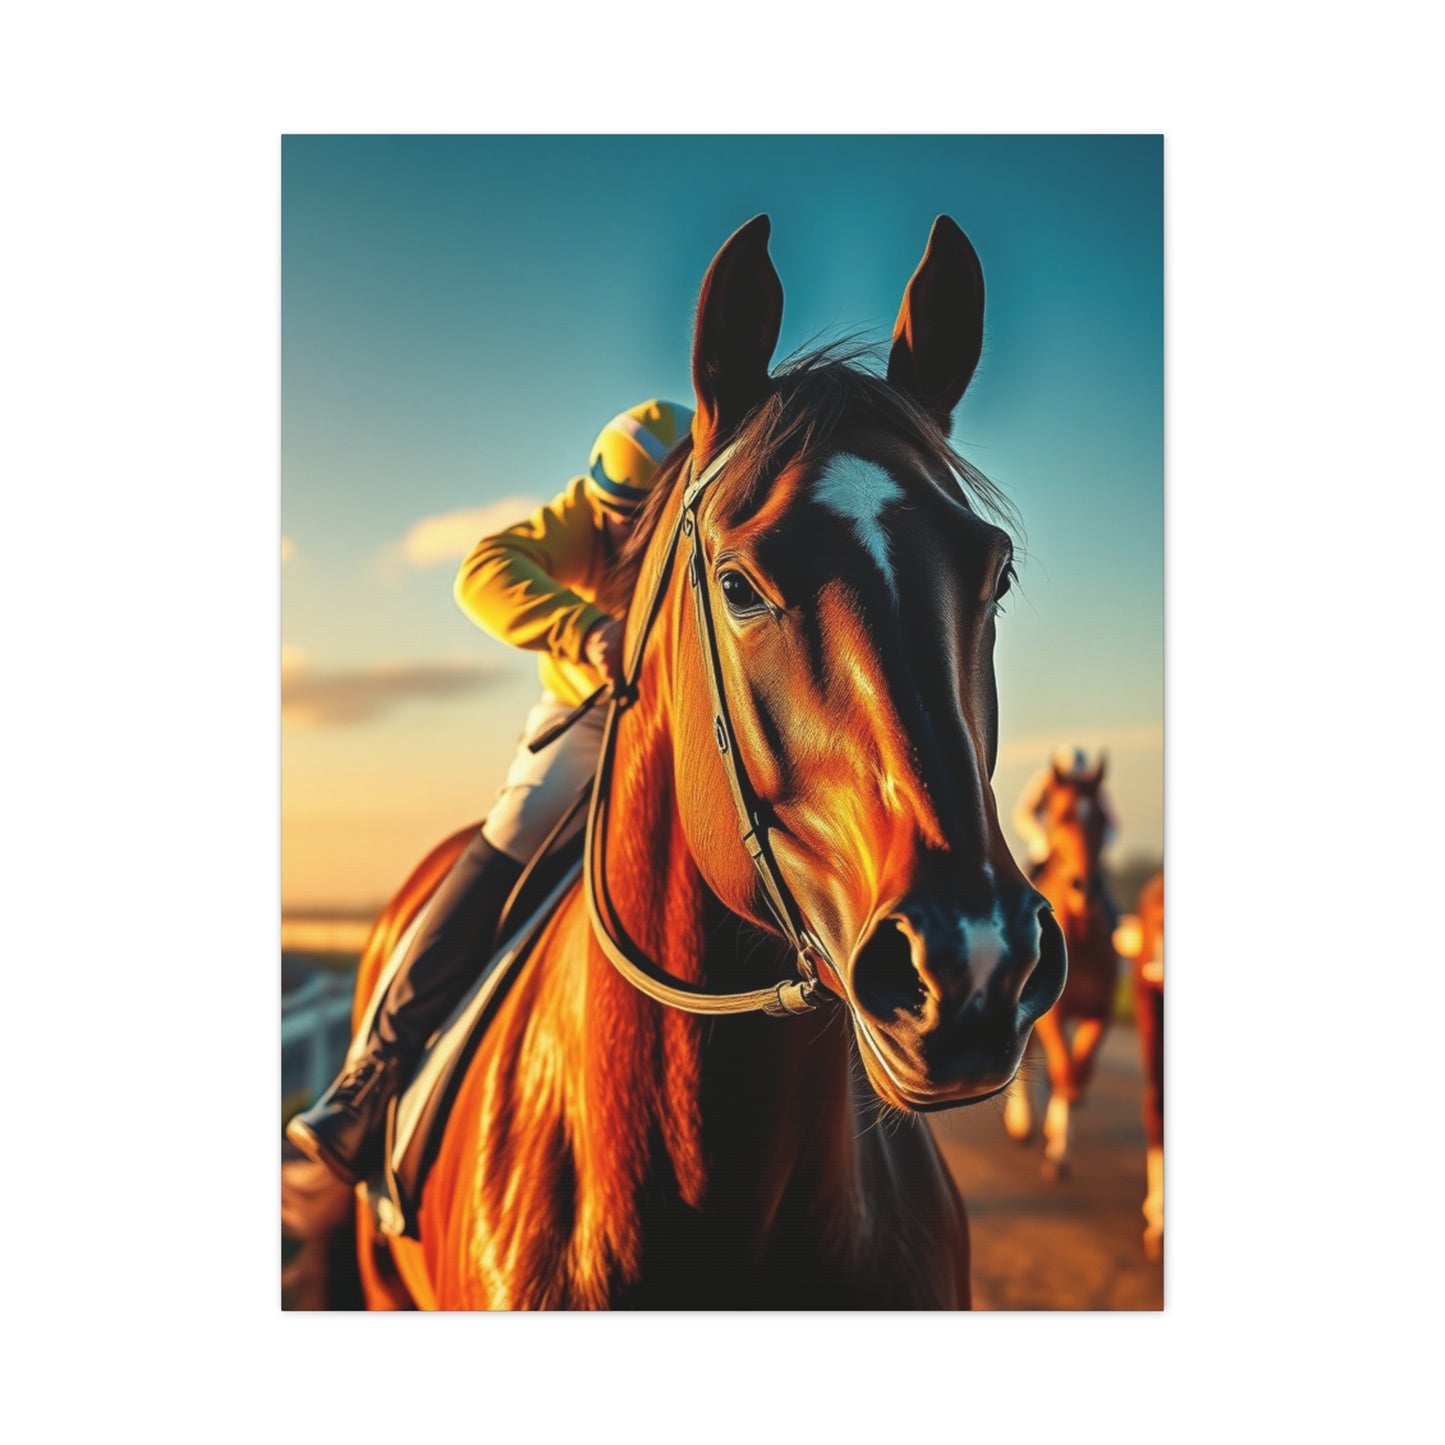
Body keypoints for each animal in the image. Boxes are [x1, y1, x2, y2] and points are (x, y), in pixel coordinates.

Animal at [1002, 755, 1118, 1180]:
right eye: (1063, 815)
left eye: (1100, 816)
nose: (1083, 886)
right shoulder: (1052, 1012)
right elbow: (1064, 1069)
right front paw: (1057, 1149)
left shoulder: (1100, 1010)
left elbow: (1077, 1072)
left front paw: (1058, 1138)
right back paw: (1021, 1122)